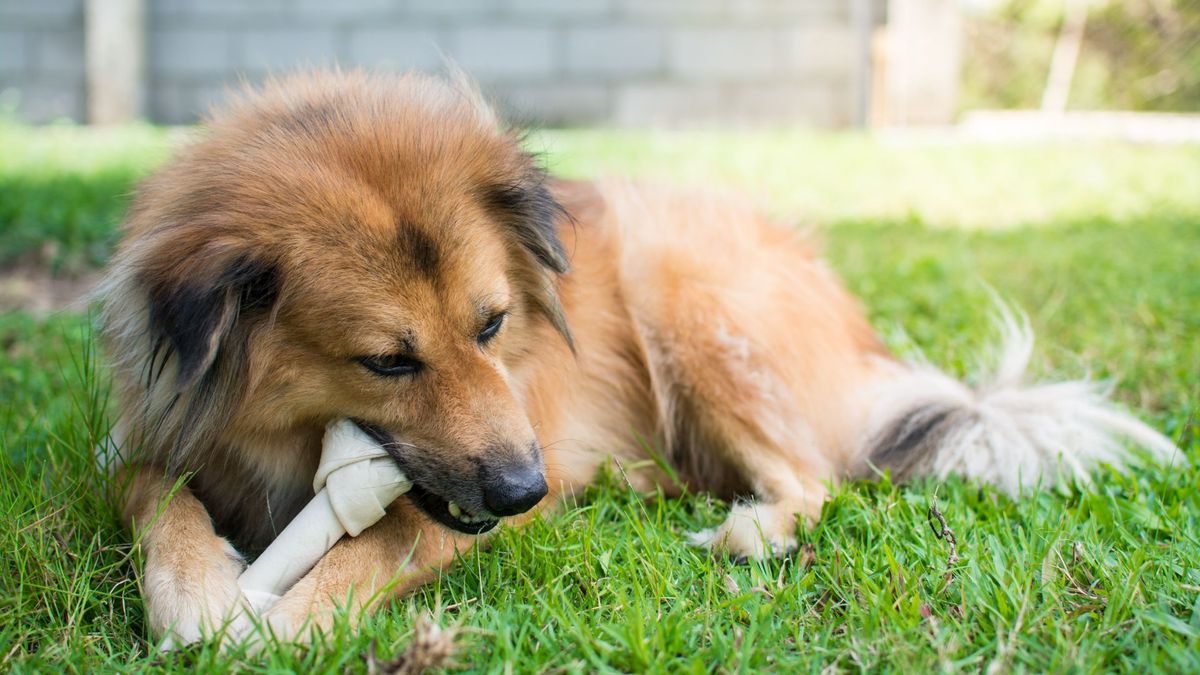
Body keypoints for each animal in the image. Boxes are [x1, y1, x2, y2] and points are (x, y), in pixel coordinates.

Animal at [98, 70, 1176, 643]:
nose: (525, 489)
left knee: (816, 477)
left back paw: (749, 529)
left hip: (681, 284)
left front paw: (275, 621)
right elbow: (153, 491)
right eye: (388, 362)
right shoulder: (153, 435)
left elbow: (391, 535)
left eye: (492, 326)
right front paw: (198, 586)